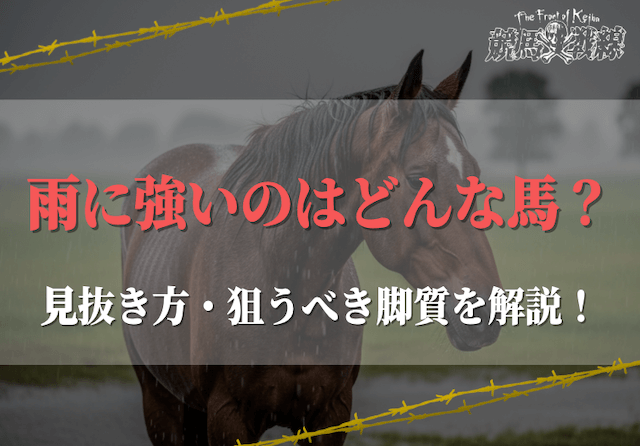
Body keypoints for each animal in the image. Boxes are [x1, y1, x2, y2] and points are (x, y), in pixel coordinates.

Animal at [121, 49, 502, 446]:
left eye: (474, 175)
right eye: (416, 179)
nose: (486, 314)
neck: (285, 285)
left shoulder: (330, 414)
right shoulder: (228, 418)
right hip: (161, 404)